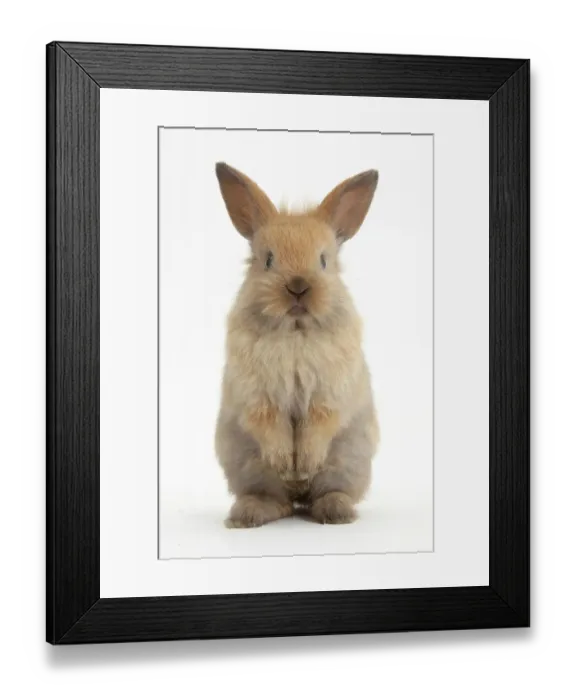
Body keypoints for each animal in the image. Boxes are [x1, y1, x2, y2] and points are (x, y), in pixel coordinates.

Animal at [213, 162, 380, 528]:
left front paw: (303, 463)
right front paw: (284, 462)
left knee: (327, 494)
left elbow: (319, 423)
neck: (295, 330)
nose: (298, 287)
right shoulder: (257, 396)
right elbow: (269, 424)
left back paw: (335, 511)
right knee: (278, 501)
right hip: (248, 466)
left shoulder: (330, 394)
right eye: (268, 260)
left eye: (323, 260)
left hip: (347, 461)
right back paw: (249, 514)